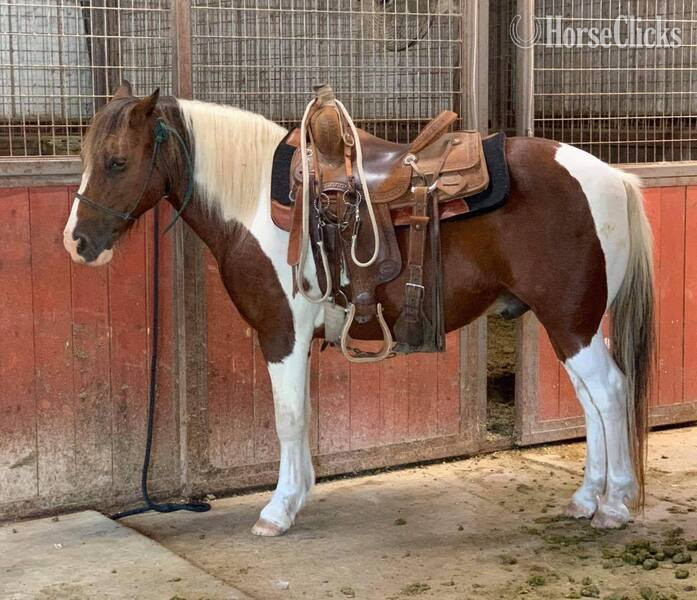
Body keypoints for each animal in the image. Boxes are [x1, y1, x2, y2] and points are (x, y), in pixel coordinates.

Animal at [63, 82, 654, 536]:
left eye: (118, 161)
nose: (77, 243)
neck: (255, 203)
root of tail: (613, 177)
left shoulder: (281, 334)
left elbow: (288, 417)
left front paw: (277, 511)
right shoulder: (297, 341)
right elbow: (301, 416)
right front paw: (298, 495)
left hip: (571, 323)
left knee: (609, 392)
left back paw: (615, 505)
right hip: (571, 324)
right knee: (592, 401)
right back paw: (585, 500)